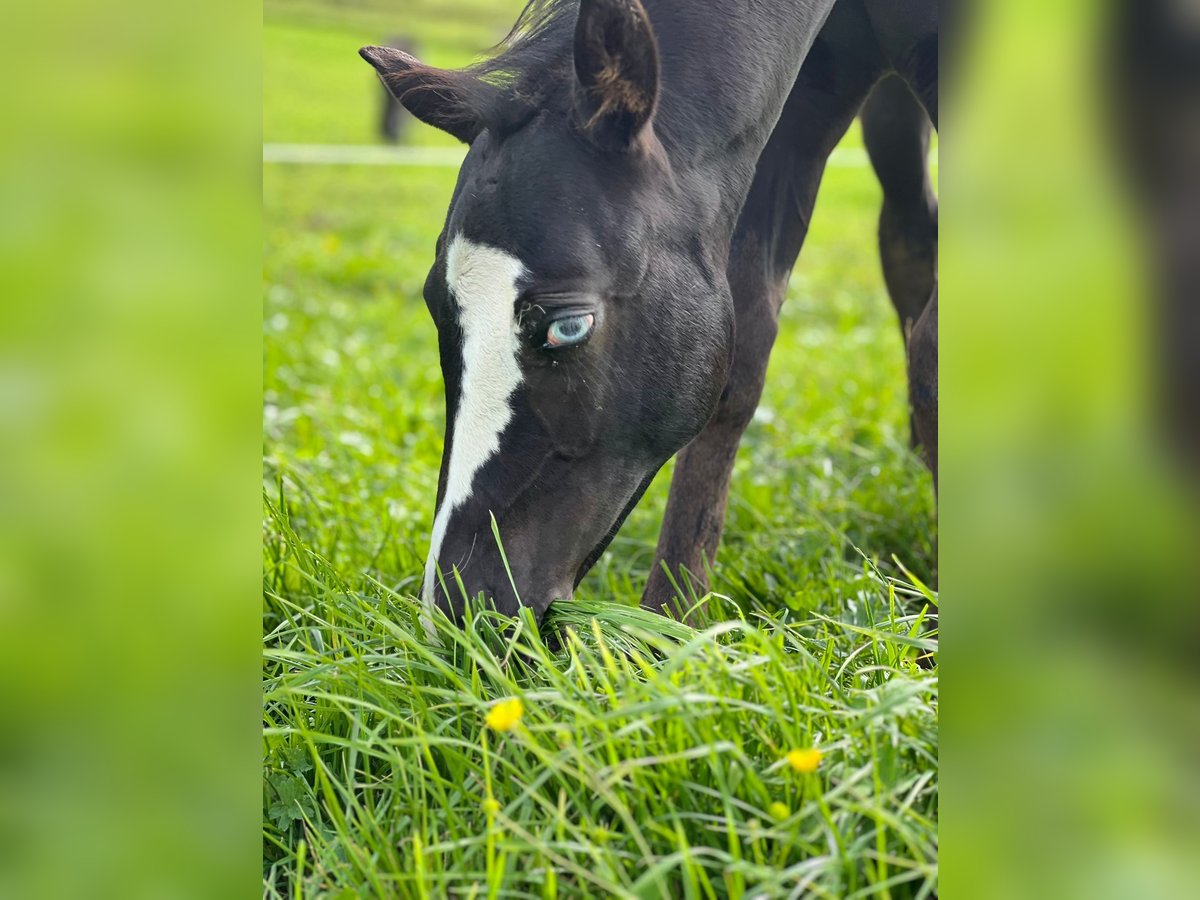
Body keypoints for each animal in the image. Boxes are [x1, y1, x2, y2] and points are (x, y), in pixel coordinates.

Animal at [359, 0, 938, 624]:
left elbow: (932, 352)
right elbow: (740, 359)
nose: (460, 608)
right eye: (436, 307)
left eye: (569, 326)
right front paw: (675, 622)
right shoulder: (796, 107)